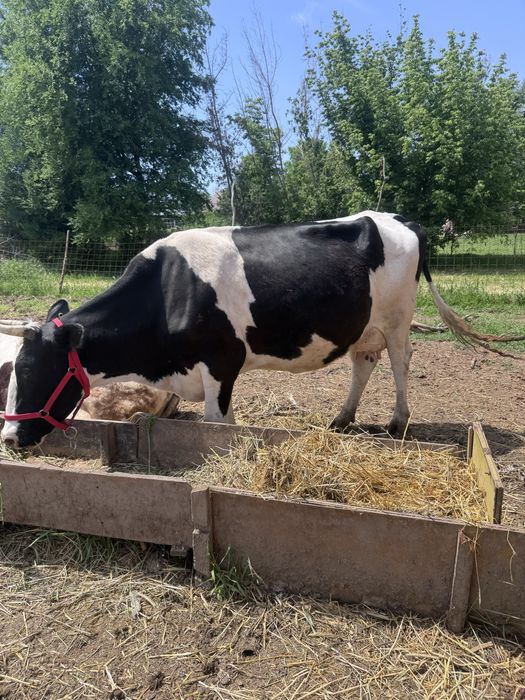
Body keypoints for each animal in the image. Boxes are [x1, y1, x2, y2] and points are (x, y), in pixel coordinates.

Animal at [0, 211, 500, 448]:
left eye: (33, 372)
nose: (9, 439)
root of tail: (397, 218)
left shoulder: (222, 362)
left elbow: (217, 424)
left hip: (397, 318)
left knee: (400, 361)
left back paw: (397, 422)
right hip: (363, 325)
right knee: (364, 361)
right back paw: (341, 419)